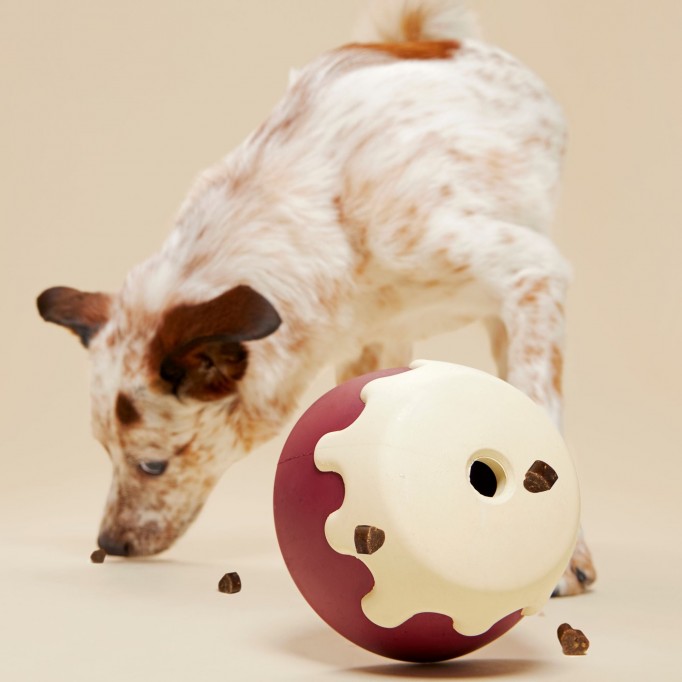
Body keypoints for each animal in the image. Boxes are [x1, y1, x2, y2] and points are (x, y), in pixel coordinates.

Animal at [35, 0, 596, 592]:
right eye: (105, 450)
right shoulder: (367, 348)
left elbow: (540, 418)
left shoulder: (534, 273)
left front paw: (563, 561)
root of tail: (418, 38)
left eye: (152, 465)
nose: (109, 544)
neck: (338, 227)